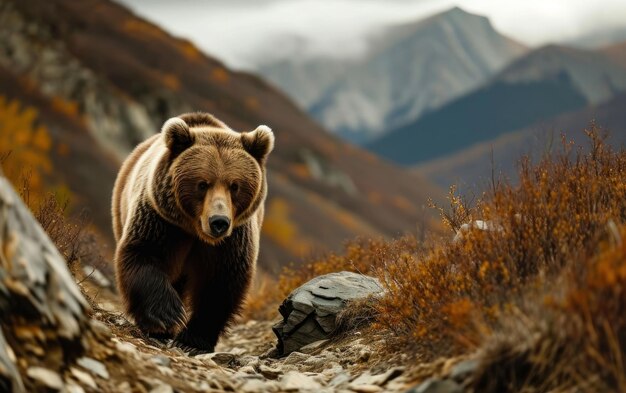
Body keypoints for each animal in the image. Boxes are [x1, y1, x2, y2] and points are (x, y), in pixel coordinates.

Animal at [111, 111, 272, 352]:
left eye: (235, 186)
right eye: (202, 184)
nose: (219, 222)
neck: (195, 230)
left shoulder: (233, 238)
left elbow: (221, 281)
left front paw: (192, 340)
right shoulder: (161, 221)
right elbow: (144, 253)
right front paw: (167, 316)